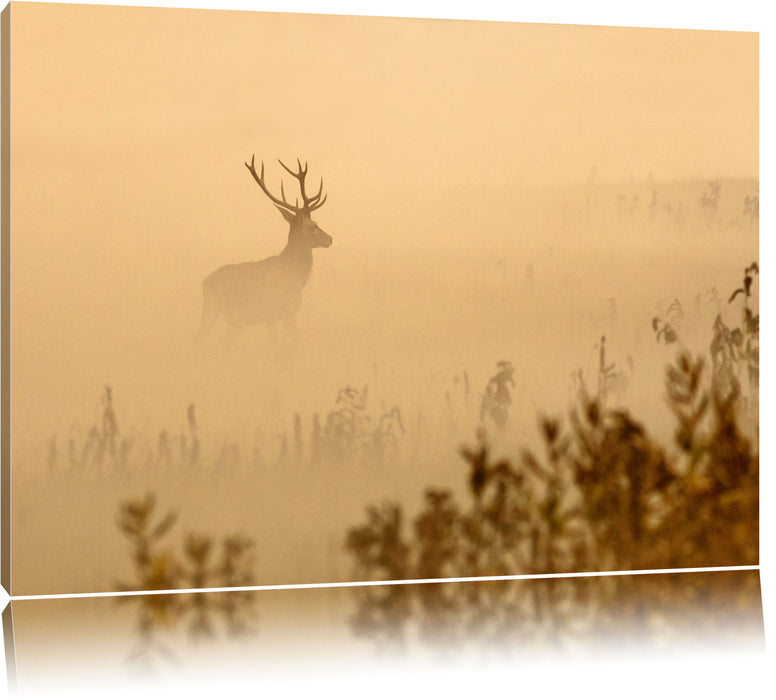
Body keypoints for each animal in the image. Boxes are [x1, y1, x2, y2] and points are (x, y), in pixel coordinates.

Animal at [197, 156, 332, 344]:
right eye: (314, 225)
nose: (330, 239)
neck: (296, 274)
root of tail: (206, 284)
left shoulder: (271, 318)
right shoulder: (287, 311)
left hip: (215, 311)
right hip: (234, 314)